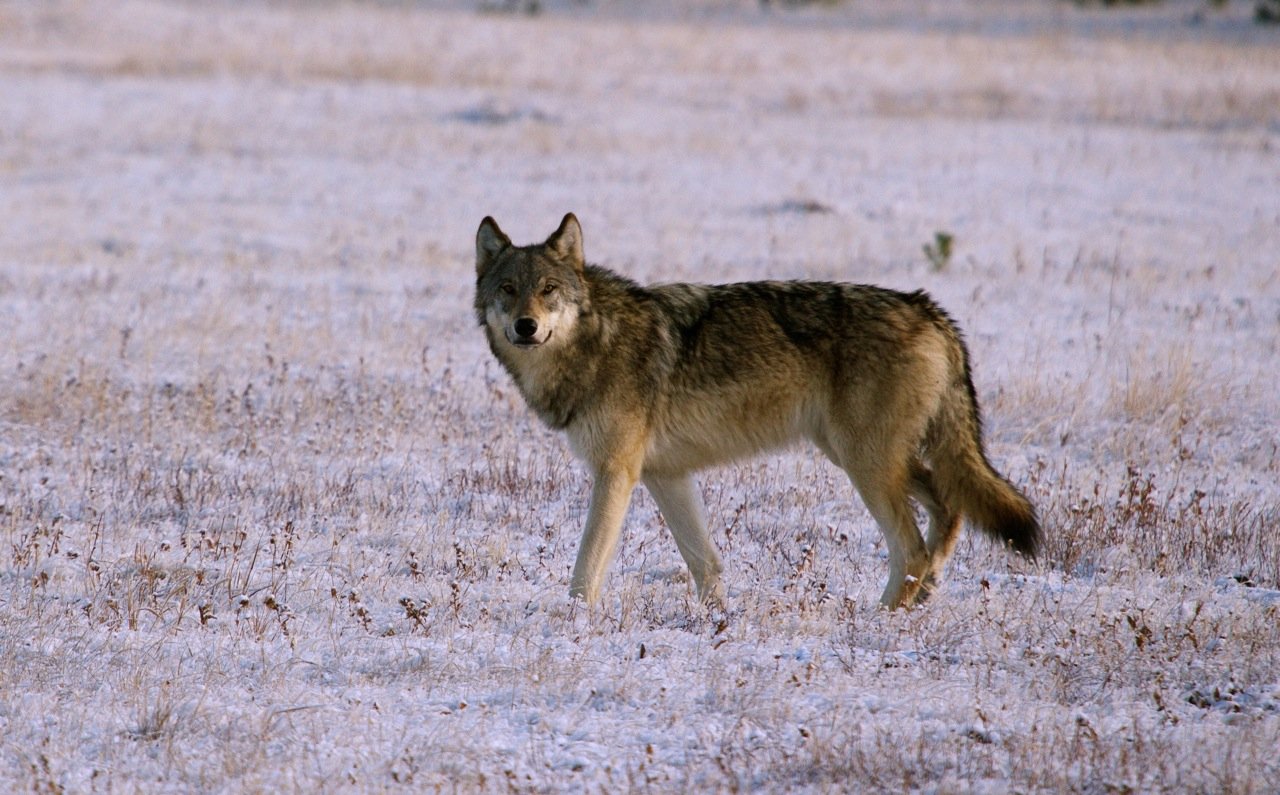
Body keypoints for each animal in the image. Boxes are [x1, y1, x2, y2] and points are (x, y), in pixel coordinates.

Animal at [474, 213, 1039, 609]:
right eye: (508, 289)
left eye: (548, 290)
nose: (525, 326)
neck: (596, 341)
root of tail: (928, 308)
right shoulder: (664, 474)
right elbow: (705, 562)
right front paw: (715, 620)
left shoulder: (616, 473)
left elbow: (587, 563)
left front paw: (571, 621)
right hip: (863, 457)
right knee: (949, 507)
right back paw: (922, 599)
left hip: (867, 466)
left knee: (914, 546)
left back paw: (878, 619)